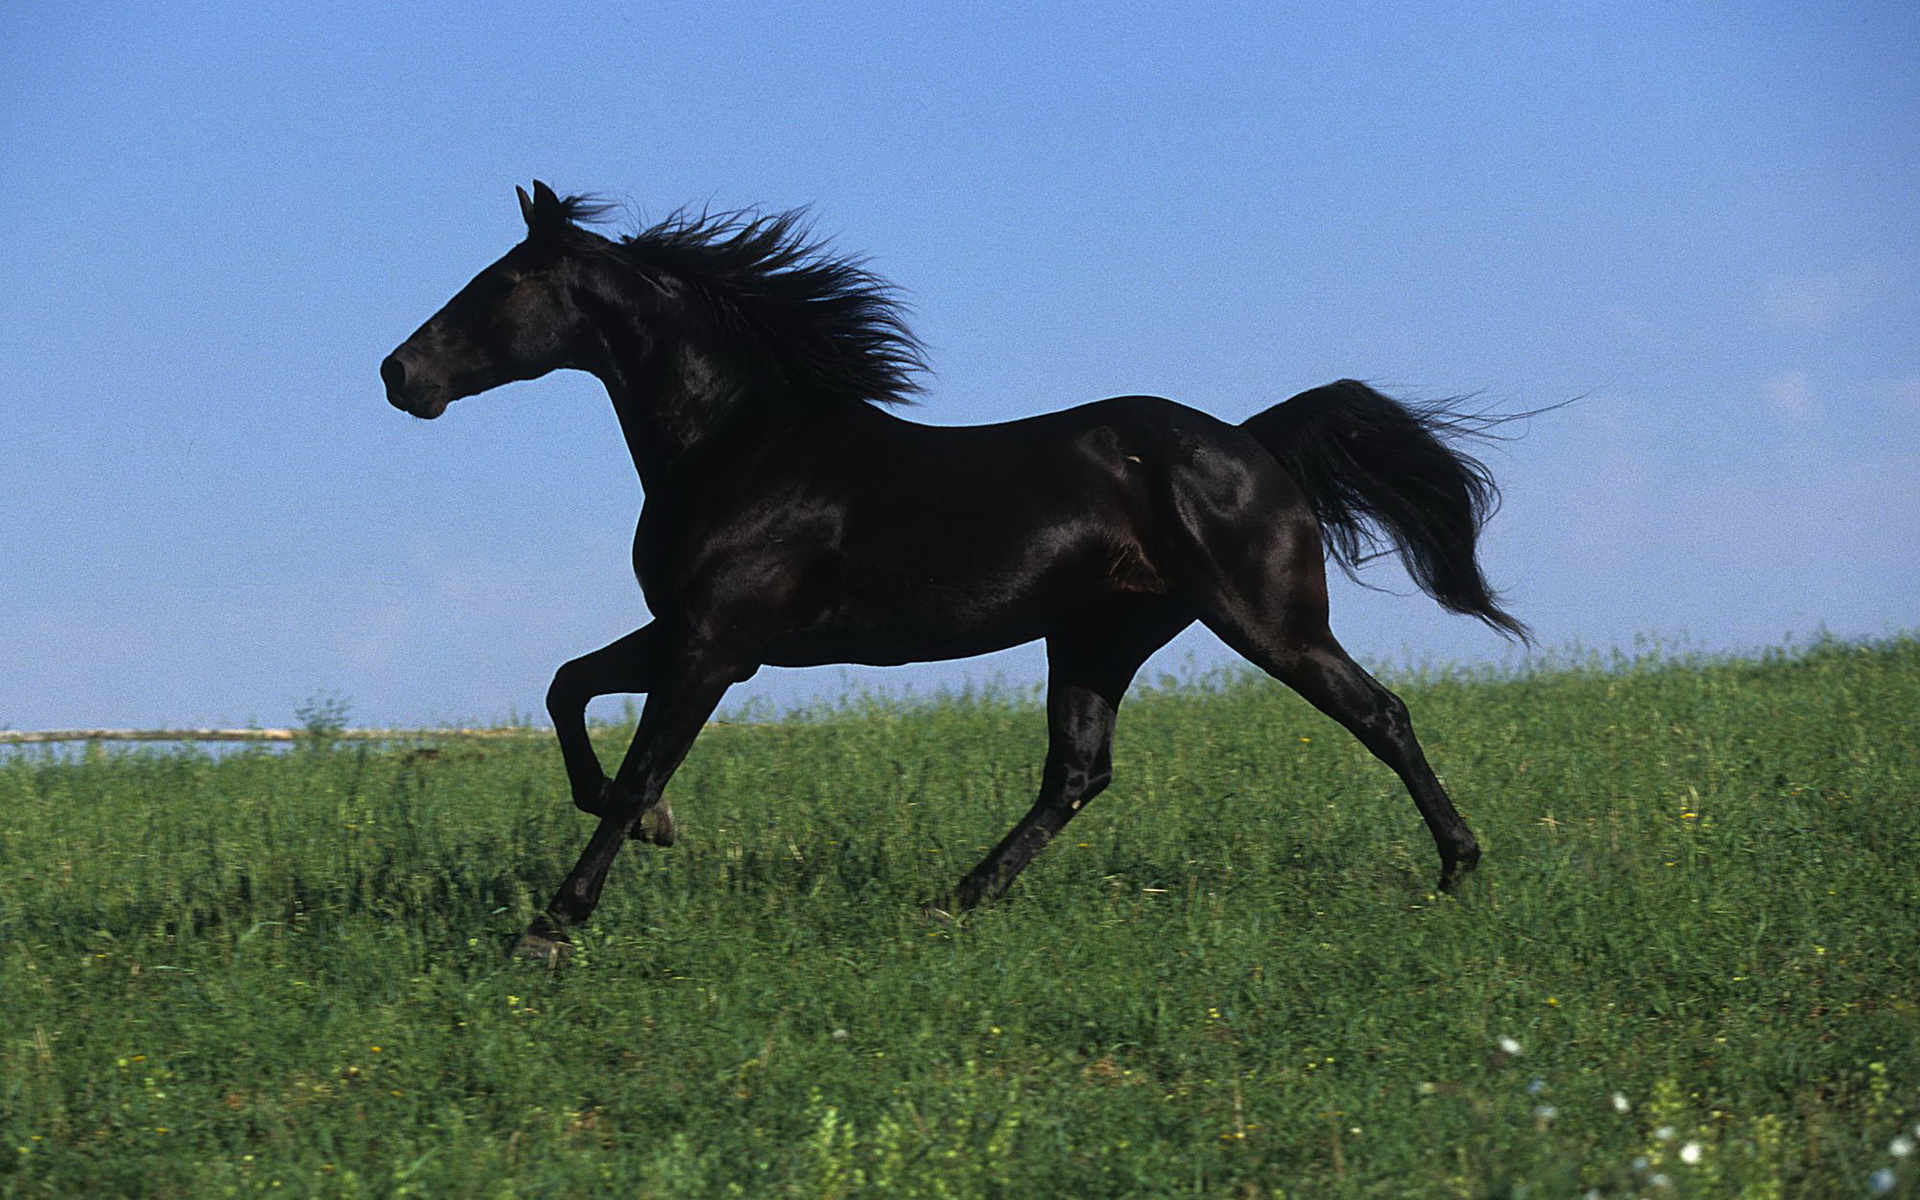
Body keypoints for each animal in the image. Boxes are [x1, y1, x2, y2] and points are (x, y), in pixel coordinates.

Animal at [385, 182, 1528, 960]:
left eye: (501, 283)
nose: (399, 373)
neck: (737, 445)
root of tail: (1254, 444)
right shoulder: (697, 635)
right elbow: (568, 689)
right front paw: (649, 836)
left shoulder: (715, 644)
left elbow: (637, 770)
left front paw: (553, 922)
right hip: (1099, 636)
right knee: (1077, 773)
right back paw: (957, 900)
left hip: (1267, 623)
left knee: (1379, 715)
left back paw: (1460, 866)